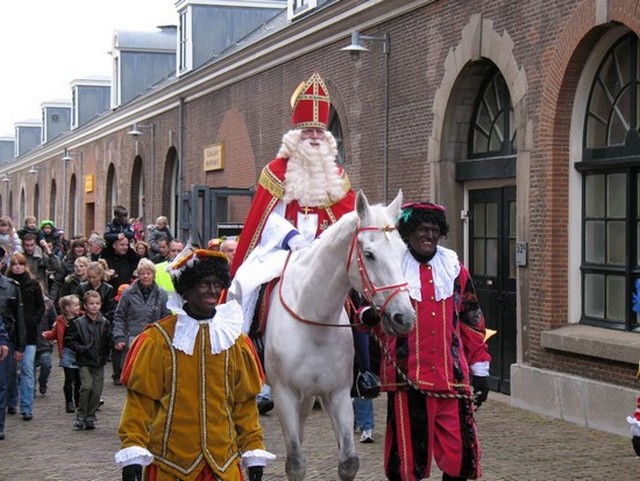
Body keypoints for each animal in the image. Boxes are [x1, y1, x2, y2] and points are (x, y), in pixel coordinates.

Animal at [264, 190, 416, 480]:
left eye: (403, 250)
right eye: (369, 254)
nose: (404, 318)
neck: (313, 319)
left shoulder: (338, 393)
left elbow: (348, 461)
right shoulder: (284, 394)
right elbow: (295, 463)